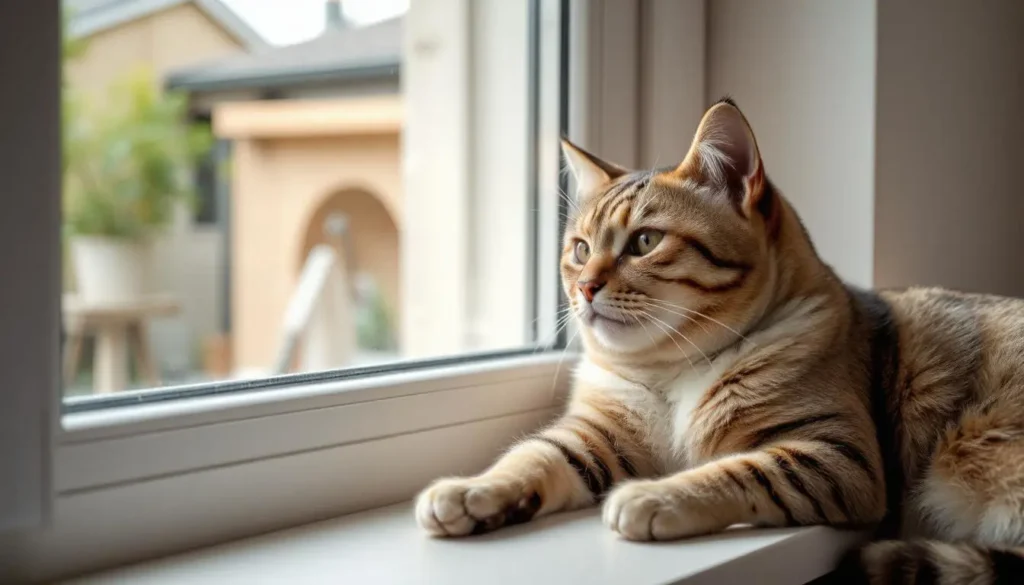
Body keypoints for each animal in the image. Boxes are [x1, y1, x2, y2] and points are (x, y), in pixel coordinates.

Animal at [411, 98, 1024, 581]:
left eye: (645, 242)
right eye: (580, 249)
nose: (585, 287)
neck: (671, 371)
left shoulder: (836, 454)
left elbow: (736, 470)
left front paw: (655, 494)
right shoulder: (596, 436)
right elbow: (531, 456)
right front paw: (470, 492)